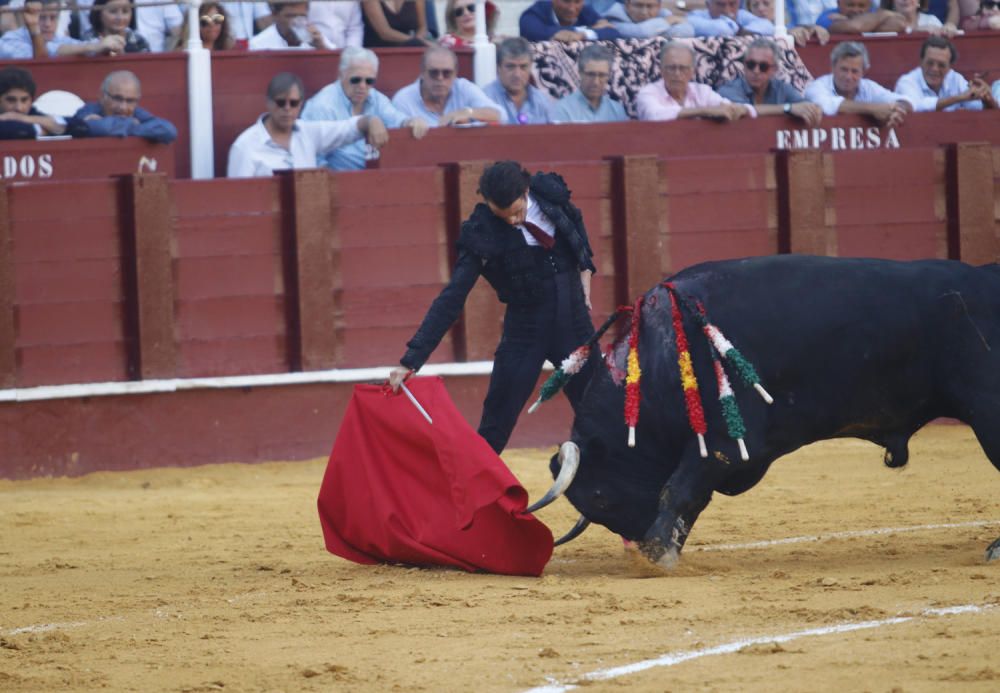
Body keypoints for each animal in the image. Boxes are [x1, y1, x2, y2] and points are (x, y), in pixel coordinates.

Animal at [548, 254, 1000, 568]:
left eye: (601, 497)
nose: (636, 542)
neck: (660, 358)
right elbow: (689, 497)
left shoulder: (723, 440)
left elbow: (680, 489)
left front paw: (657, 553)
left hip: (987, 411)